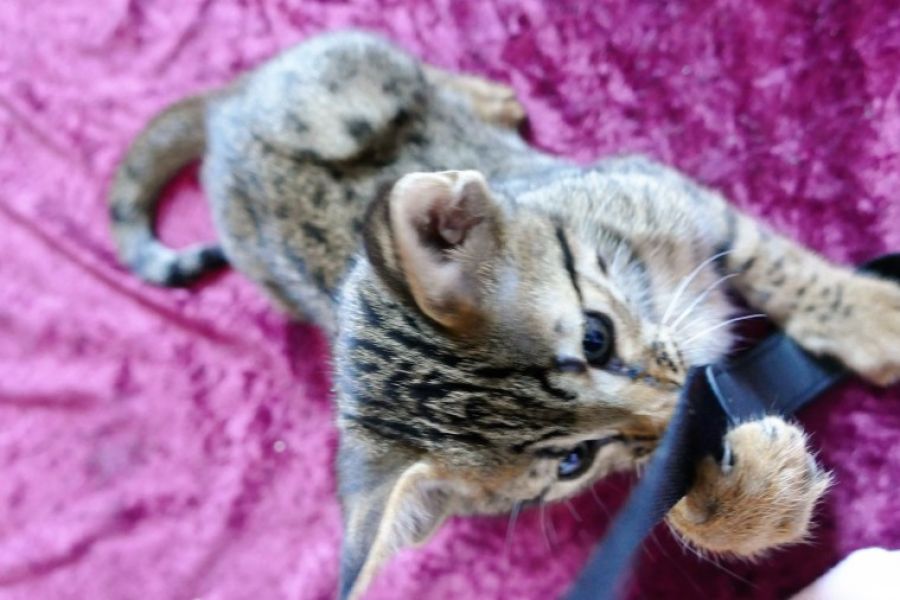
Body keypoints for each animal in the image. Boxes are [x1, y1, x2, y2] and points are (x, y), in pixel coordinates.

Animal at [109, 31, 900, 599]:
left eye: (595, 336)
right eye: (575, 461)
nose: (681, 396)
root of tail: (223, 109)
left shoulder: (662, 188)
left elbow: (771, 259)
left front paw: (869, 317)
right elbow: (669, 481)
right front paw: (742, 500)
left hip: (344, 87)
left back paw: (481, 97)